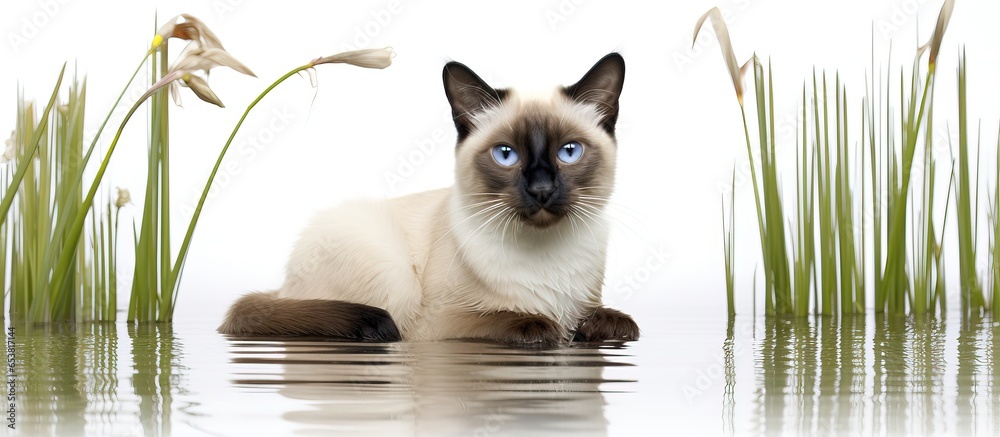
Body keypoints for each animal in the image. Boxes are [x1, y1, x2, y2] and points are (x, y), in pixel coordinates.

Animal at [221, 52, 640, 344]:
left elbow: (606, 319)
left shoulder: (585, 302)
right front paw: (544, 326)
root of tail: (283, 285)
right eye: (506, 155)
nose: (541, 190)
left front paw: (602, 326)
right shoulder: (436, 323)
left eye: (569, 152)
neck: (546, 253)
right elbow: (511, 318)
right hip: (393, 272)